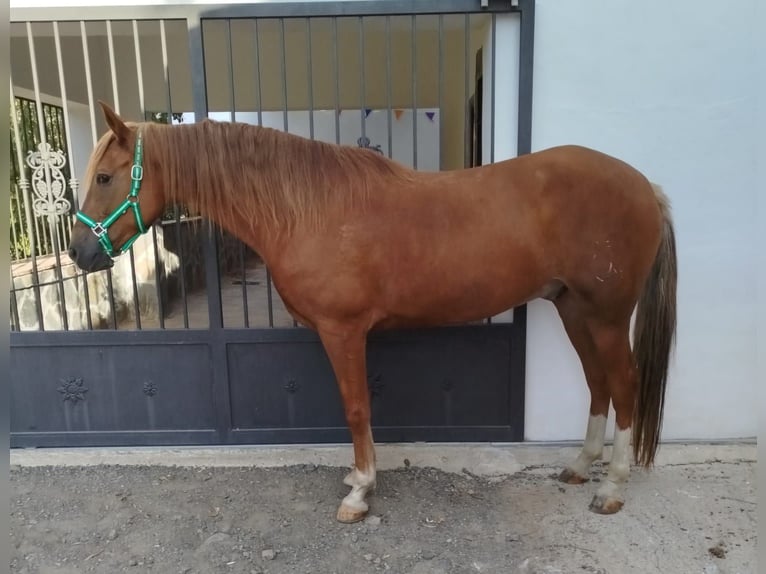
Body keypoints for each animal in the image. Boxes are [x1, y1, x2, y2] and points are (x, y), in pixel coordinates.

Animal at [67, 102, 680, 520]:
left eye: (105, 177)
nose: (79, 253)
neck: (307, 208)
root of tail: (645, 186)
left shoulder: (343, 332)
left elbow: (356, 406)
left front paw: (361, 491)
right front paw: (356, 481)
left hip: (606, 316)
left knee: (624, 384)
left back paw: (611, 486)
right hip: (575, 310)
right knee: (598, 384)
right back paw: (579, 468)